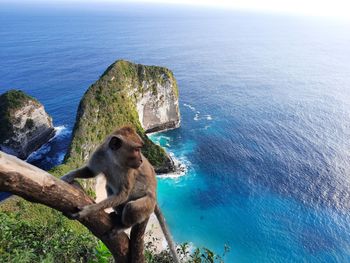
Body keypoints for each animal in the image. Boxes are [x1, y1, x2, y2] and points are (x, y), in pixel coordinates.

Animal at [60, 126, 180, 263]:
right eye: (137, 149)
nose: (140, 159)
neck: (114, 159)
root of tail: (155, 197)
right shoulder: (99, 154)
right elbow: (91, 171)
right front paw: (67, 176)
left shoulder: (129, 170)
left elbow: (123, 194)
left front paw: (88, 210)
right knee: (109, 188)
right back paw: (117, 215)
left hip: (148, 204)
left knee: (132, 206)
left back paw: (123, 226)